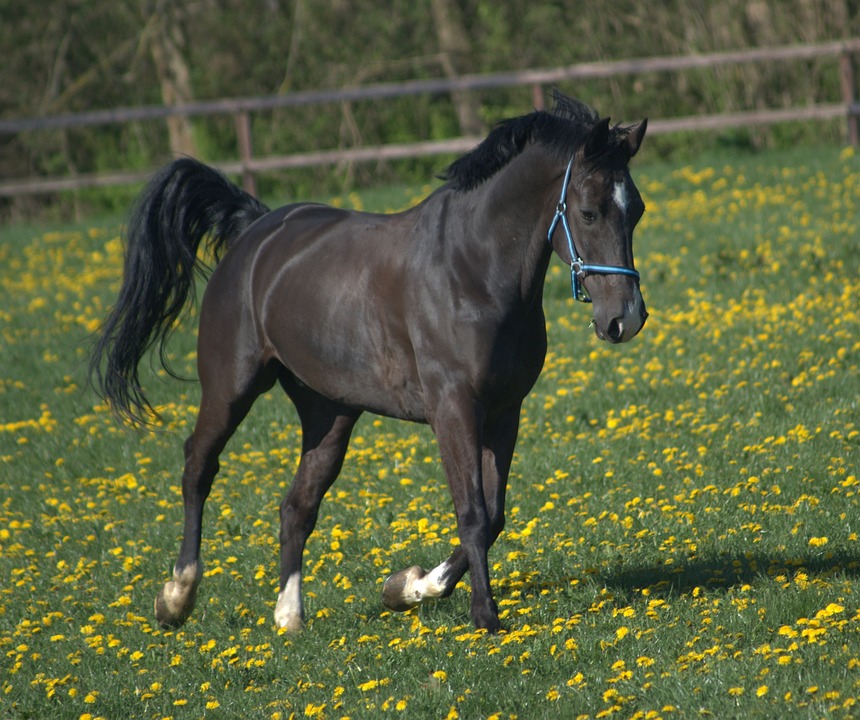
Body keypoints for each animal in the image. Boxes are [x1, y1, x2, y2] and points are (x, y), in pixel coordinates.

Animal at [90, 92, 648, 634]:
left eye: (637, 210)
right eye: (590, 212)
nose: (625, 319)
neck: (471, 270)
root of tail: (256, 234)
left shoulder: (504, 413)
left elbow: (494, 517)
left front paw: (406, 587)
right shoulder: (454, 410)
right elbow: (472, 512)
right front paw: (484, 616)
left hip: (329, 412)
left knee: (297, 506)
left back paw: (289, 617)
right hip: (231, 387)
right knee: (198, 467)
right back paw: (176, 598)